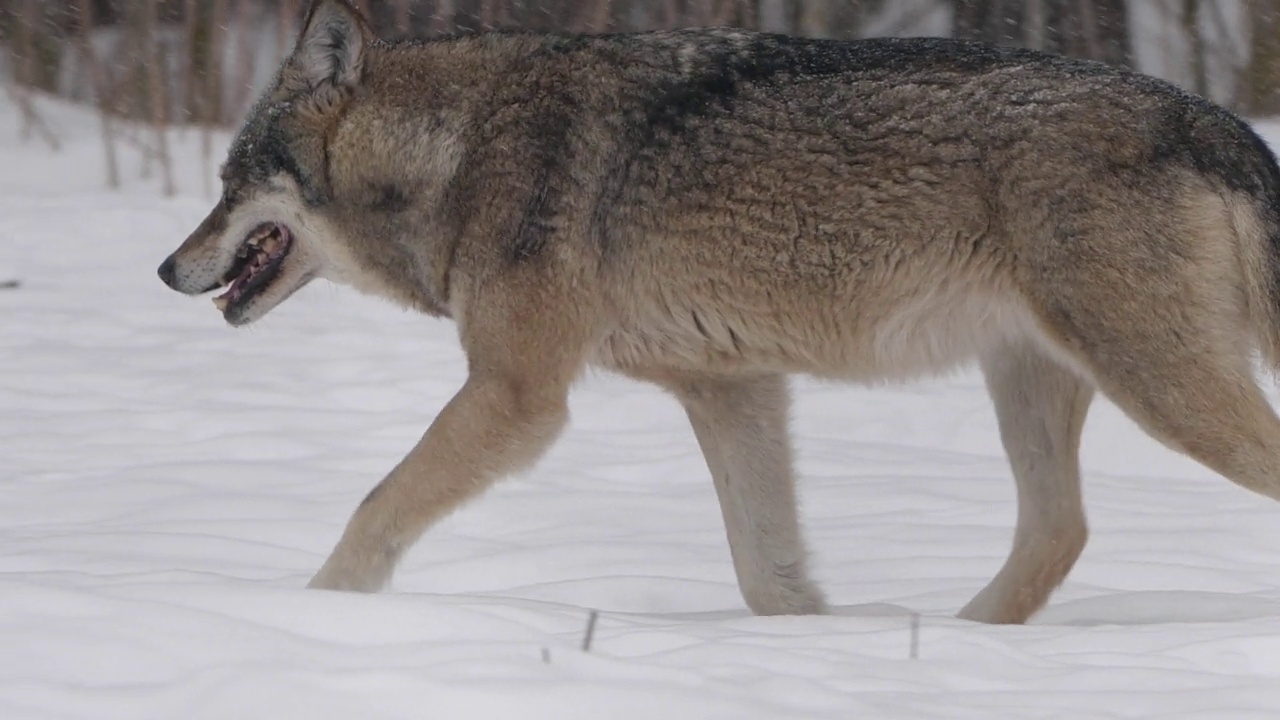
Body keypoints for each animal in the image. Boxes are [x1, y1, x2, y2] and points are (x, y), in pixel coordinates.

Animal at [154, 0, 1280, 622]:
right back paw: (959, 641)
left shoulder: (517, 396)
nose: (166, 268)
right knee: (1059, 533)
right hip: (1033, 383)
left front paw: (311, 620)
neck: (458, 150)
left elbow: (374, 509)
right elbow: (766, 575)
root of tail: (1214, 120)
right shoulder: (733, 390)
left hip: (1157, 387)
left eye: (230, 182)